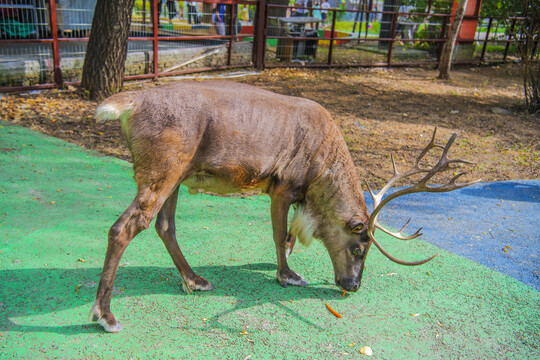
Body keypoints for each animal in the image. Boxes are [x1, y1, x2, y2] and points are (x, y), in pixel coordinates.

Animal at [88, 81, 476, 332]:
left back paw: (195, 280)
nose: (353, 286)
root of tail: (127, 104)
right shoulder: (283, 187)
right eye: (359, 247)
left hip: (178, 175)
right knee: (124, 227)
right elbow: (278, 236)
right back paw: (105, 315)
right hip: (163, 170)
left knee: (164, 226)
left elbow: (288, 236)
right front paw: (287, 275)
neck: (323, 169)